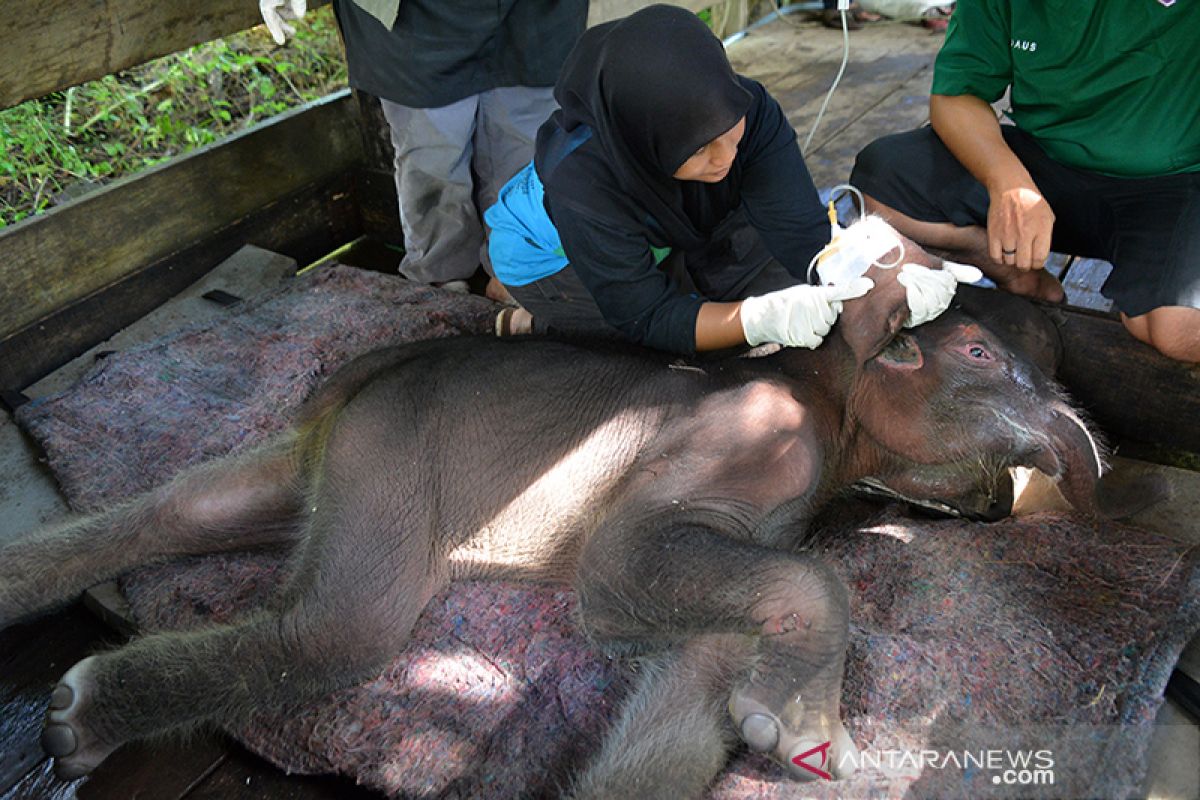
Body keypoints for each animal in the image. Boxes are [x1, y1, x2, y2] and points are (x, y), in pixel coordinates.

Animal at [0, 219, 1104, 796]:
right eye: (978, 353)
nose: (1080, 448)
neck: (829, 392)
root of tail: (353, 388)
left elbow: (694, 674)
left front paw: (758, 716)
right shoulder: (748, 438)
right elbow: (621, 565)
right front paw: (804, 736)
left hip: (332, 457)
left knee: (185, 505)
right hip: (398, 455)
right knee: (341, 625)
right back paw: (75, 722)